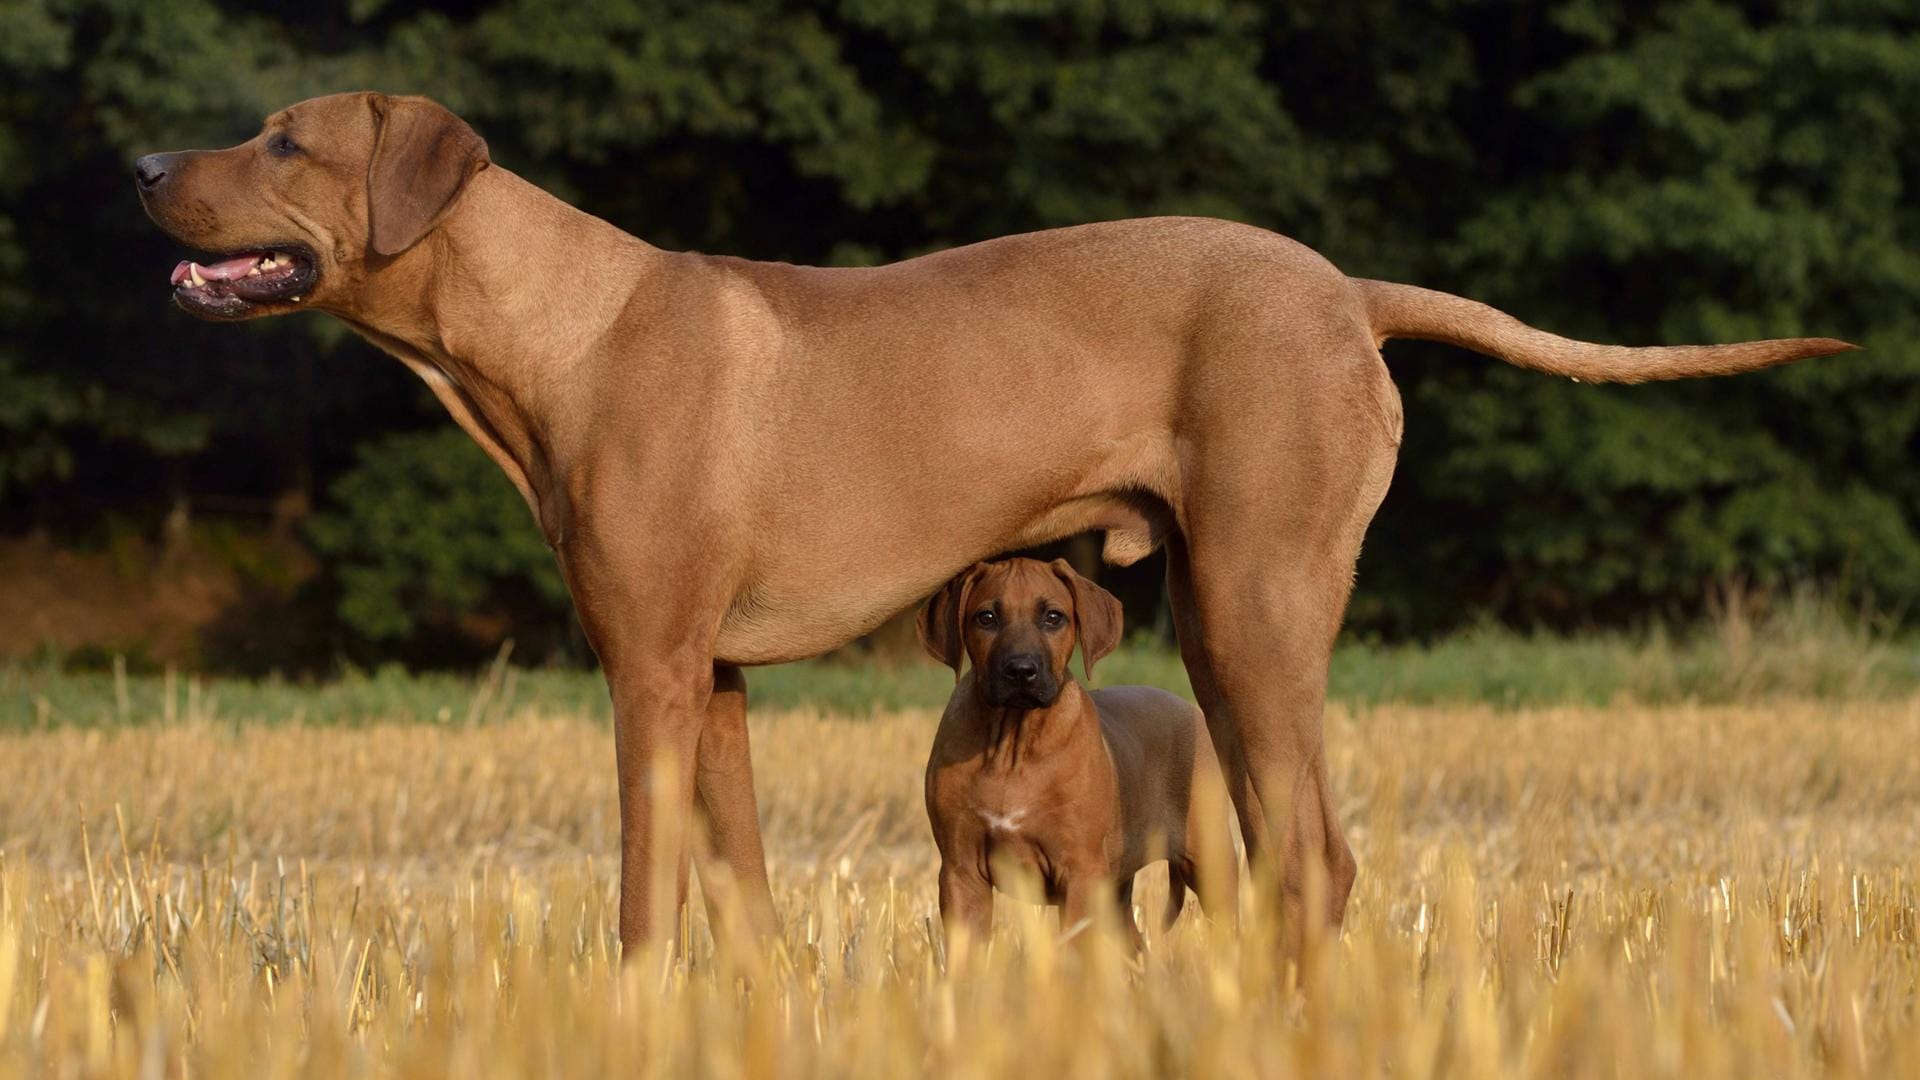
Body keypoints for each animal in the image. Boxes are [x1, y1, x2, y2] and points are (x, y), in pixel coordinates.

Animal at [921, 553, 1236, 941]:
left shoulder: (1079, 871)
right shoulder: (961, 872)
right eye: (987, 618)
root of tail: (1188, 708)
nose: (1021, 670)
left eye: (1053, 617)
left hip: (1211, 862)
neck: (1013, 743)